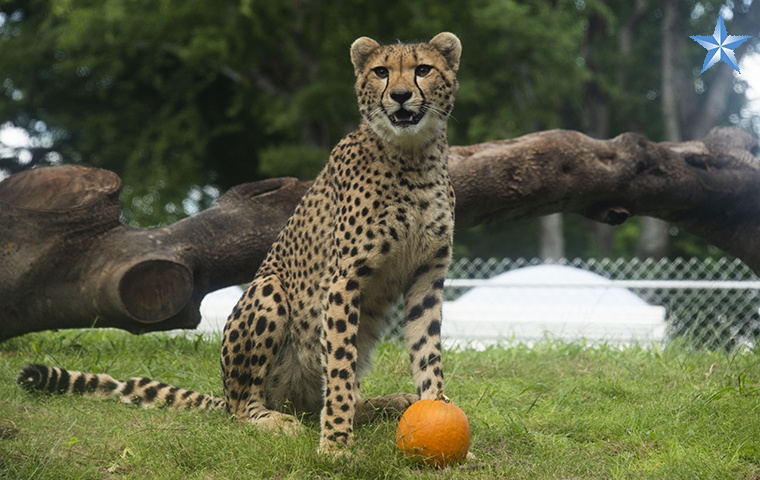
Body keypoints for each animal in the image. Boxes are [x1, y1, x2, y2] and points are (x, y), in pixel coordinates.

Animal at [17, 31, 464, 454]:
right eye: (381, 72)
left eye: (422, 70)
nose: (401, 95)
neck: (413, 156)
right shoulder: (344, 279)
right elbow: (339, 365)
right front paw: (336, 445)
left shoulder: (427, 276)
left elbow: (427, 351)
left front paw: (436, 412)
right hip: (268, 291)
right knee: (244, 408)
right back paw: (277, 419)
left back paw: (388, 403)